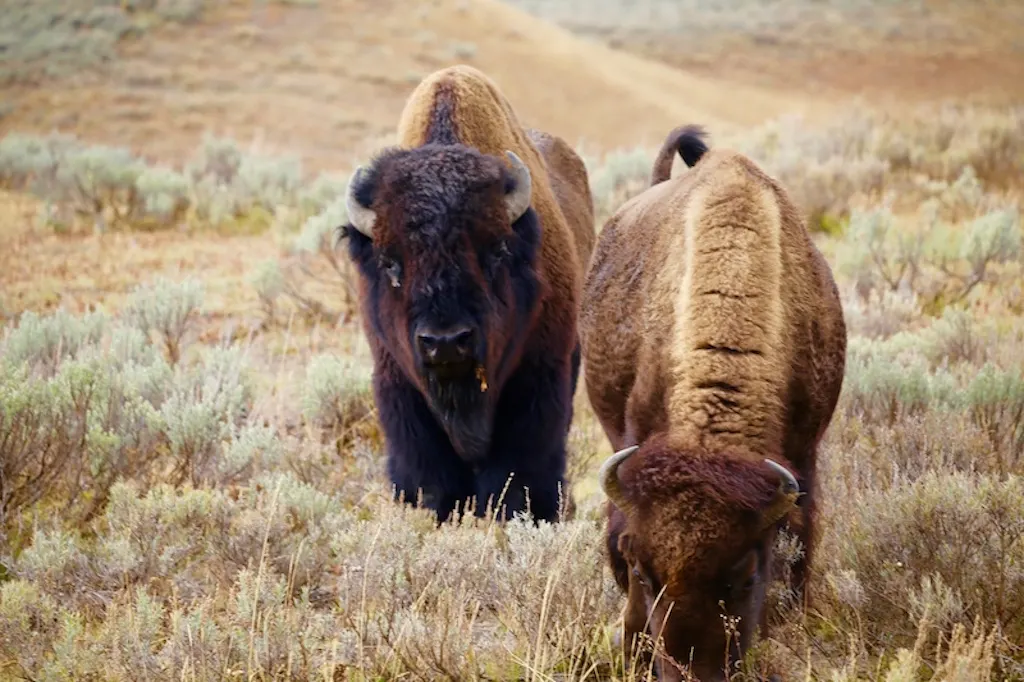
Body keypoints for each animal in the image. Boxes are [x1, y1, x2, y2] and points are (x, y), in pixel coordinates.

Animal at [339, 65, 598, 524]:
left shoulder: (539, 376)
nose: (445, 342)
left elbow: (520, 469)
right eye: (390, 263)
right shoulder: (398, 381)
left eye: (496, 251)